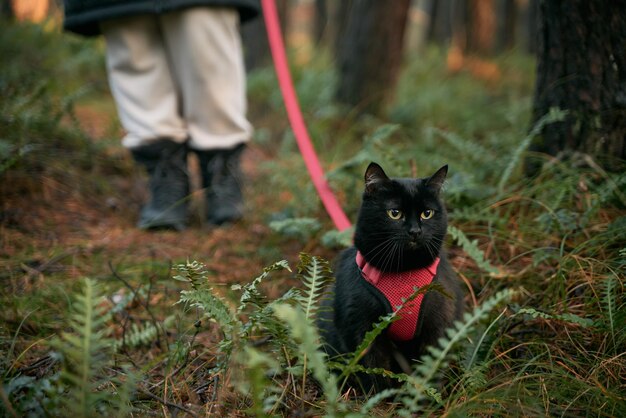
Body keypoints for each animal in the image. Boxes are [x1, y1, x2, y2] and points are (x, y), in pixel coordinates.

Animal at [320, 162, 460, 394]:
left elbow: (430, 368)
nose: (415, 231)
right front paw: (381, 399)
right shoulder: (363, 331)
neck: (403, 271)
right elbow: (374, 373)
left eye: (427, 213)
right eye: (395, 213)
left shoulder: (437, 325)